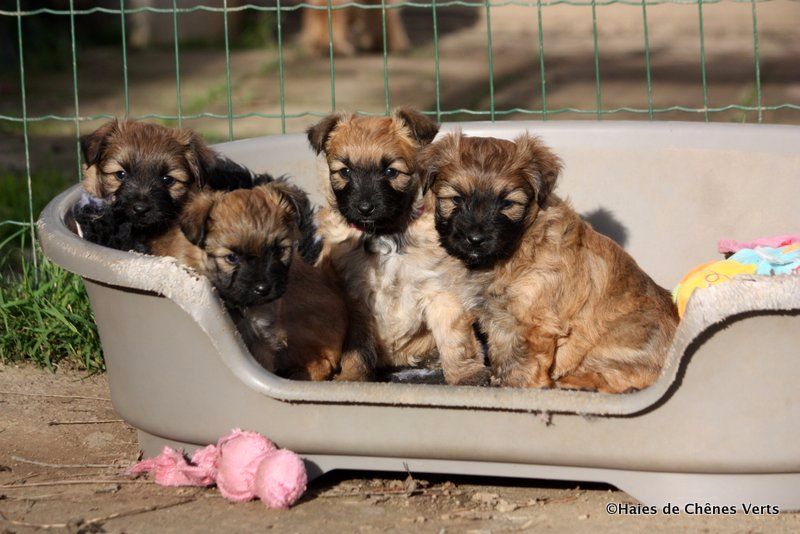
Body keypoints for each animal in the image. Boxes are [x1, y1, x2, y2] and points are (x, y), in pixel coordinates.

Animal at [306, 109, 490, 388]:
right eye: (345, 172)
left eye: (391, 172)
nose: (364, 207)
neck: (386, 235)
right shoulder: (356, 301)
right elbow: (358, 349)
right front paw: (352, 378)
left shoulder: (440, 291)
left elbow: (454, 338)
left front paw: (466, 376)